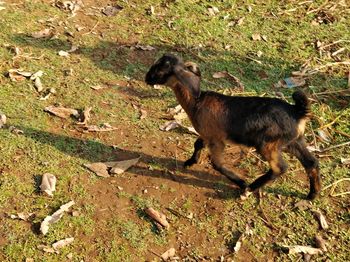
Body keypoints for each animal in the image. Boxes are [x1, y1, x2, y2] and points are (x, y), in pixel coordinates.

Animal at [144, 53, 320, 201]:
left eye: (160, 70)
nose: (146, 78)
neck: (197, 102)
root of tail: (297, 111)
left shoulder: (216, 140)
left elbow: (216, 164)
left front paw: (241, 182)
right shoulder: (207, 134)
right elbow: (197, 143)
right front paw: (190, 161)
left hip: (268, 144)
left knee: (280, 168)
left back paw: (249, 189)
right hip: (294, 141)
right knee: (311, 162)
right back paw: (312, 195)